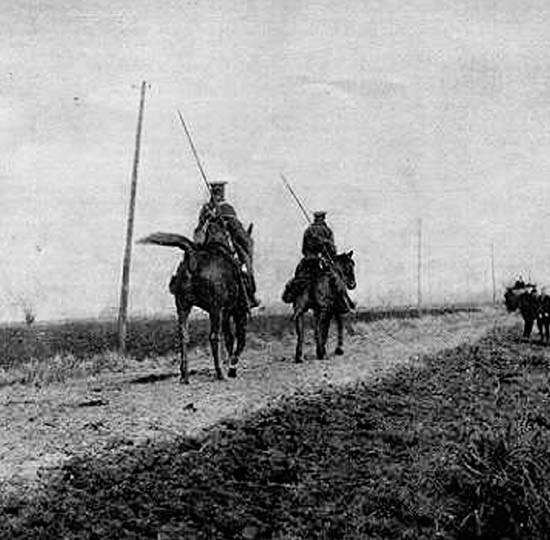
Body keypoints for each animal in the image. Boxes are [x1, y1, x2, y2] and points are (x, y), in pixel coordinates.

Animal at [141, 228, 256, 384]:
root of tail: (193, 256)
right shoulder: (238, 312)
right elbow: (240, 341)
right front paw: (232, 369)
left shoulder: (226, 314)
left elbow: (230, 339)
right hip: (215, 310)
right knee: (214, 337)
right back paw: (220, 373)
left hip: (183, 307)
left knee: (183, 337)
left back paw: (184, 376)